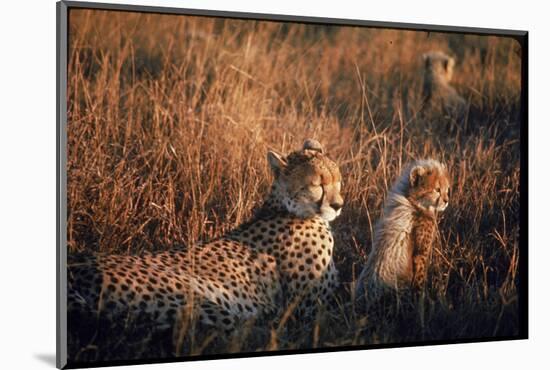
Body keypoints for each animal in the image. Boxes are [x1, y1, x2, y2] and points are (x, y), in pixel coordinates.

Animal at [69, 139, 344, 336]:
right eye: (317, 185)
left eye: (338, 180)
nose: (339, 205)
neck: (287, 208)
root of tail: (77, 269)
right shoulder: (308, 310)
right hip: (199, 302)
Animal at [358, 159, 452, 300]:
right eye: (437, 190)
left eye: (447, 190)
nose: (446, 201)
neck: (413, 203)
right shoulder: (420, 255)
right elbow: (419, 279)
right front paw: (420, 299)